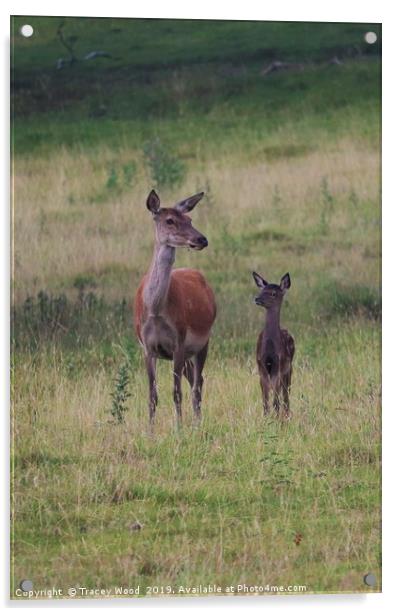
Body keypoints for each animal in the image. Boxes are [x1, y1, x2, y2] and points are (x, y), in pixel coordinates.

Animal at [134, 190, 216, 426]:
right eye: (169, 220)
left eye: (190, 219)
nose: (201, 239)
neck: (155, 310)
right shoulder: (147, 347)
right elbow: (152, 395)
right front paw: (150, 429)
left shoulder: (179, 341)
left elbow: (176, 392)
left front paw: (178, 428)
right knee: (195, 381)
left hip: (203, 341)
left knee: (197, 384)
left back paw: (197, 423)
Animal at [252, 270, 296, 418]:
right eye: (262, 290)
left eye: (273, 293)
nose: (257, 298)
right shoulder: (261, 365)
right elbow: (265, 398)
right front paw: (266, 417)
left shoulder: (279, 365)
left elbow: (275, 398)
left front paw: (276, 417)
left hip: (289, 368)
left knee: (286, 393)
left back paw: (286, 415)